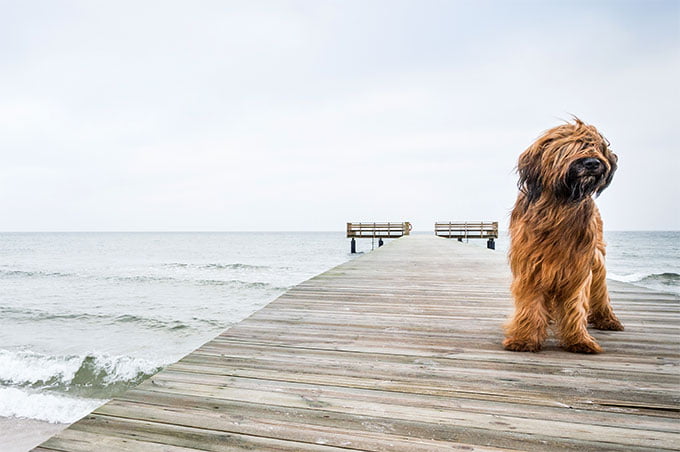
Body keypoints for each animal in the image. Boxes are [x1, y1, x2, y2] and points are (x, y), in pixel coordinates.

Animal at [502, 119, 624, 354]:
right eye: (572, 145)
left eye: (596, 145)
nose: (593, 163)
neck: (558, 206)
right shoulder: (532, 264)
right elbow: (530, 301)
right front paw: (525, 338)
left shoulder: (578, 265)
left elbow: (576, 303)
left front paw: (579, 340)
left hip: (597, 259)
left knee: (600, 290)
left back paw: (608, 320)